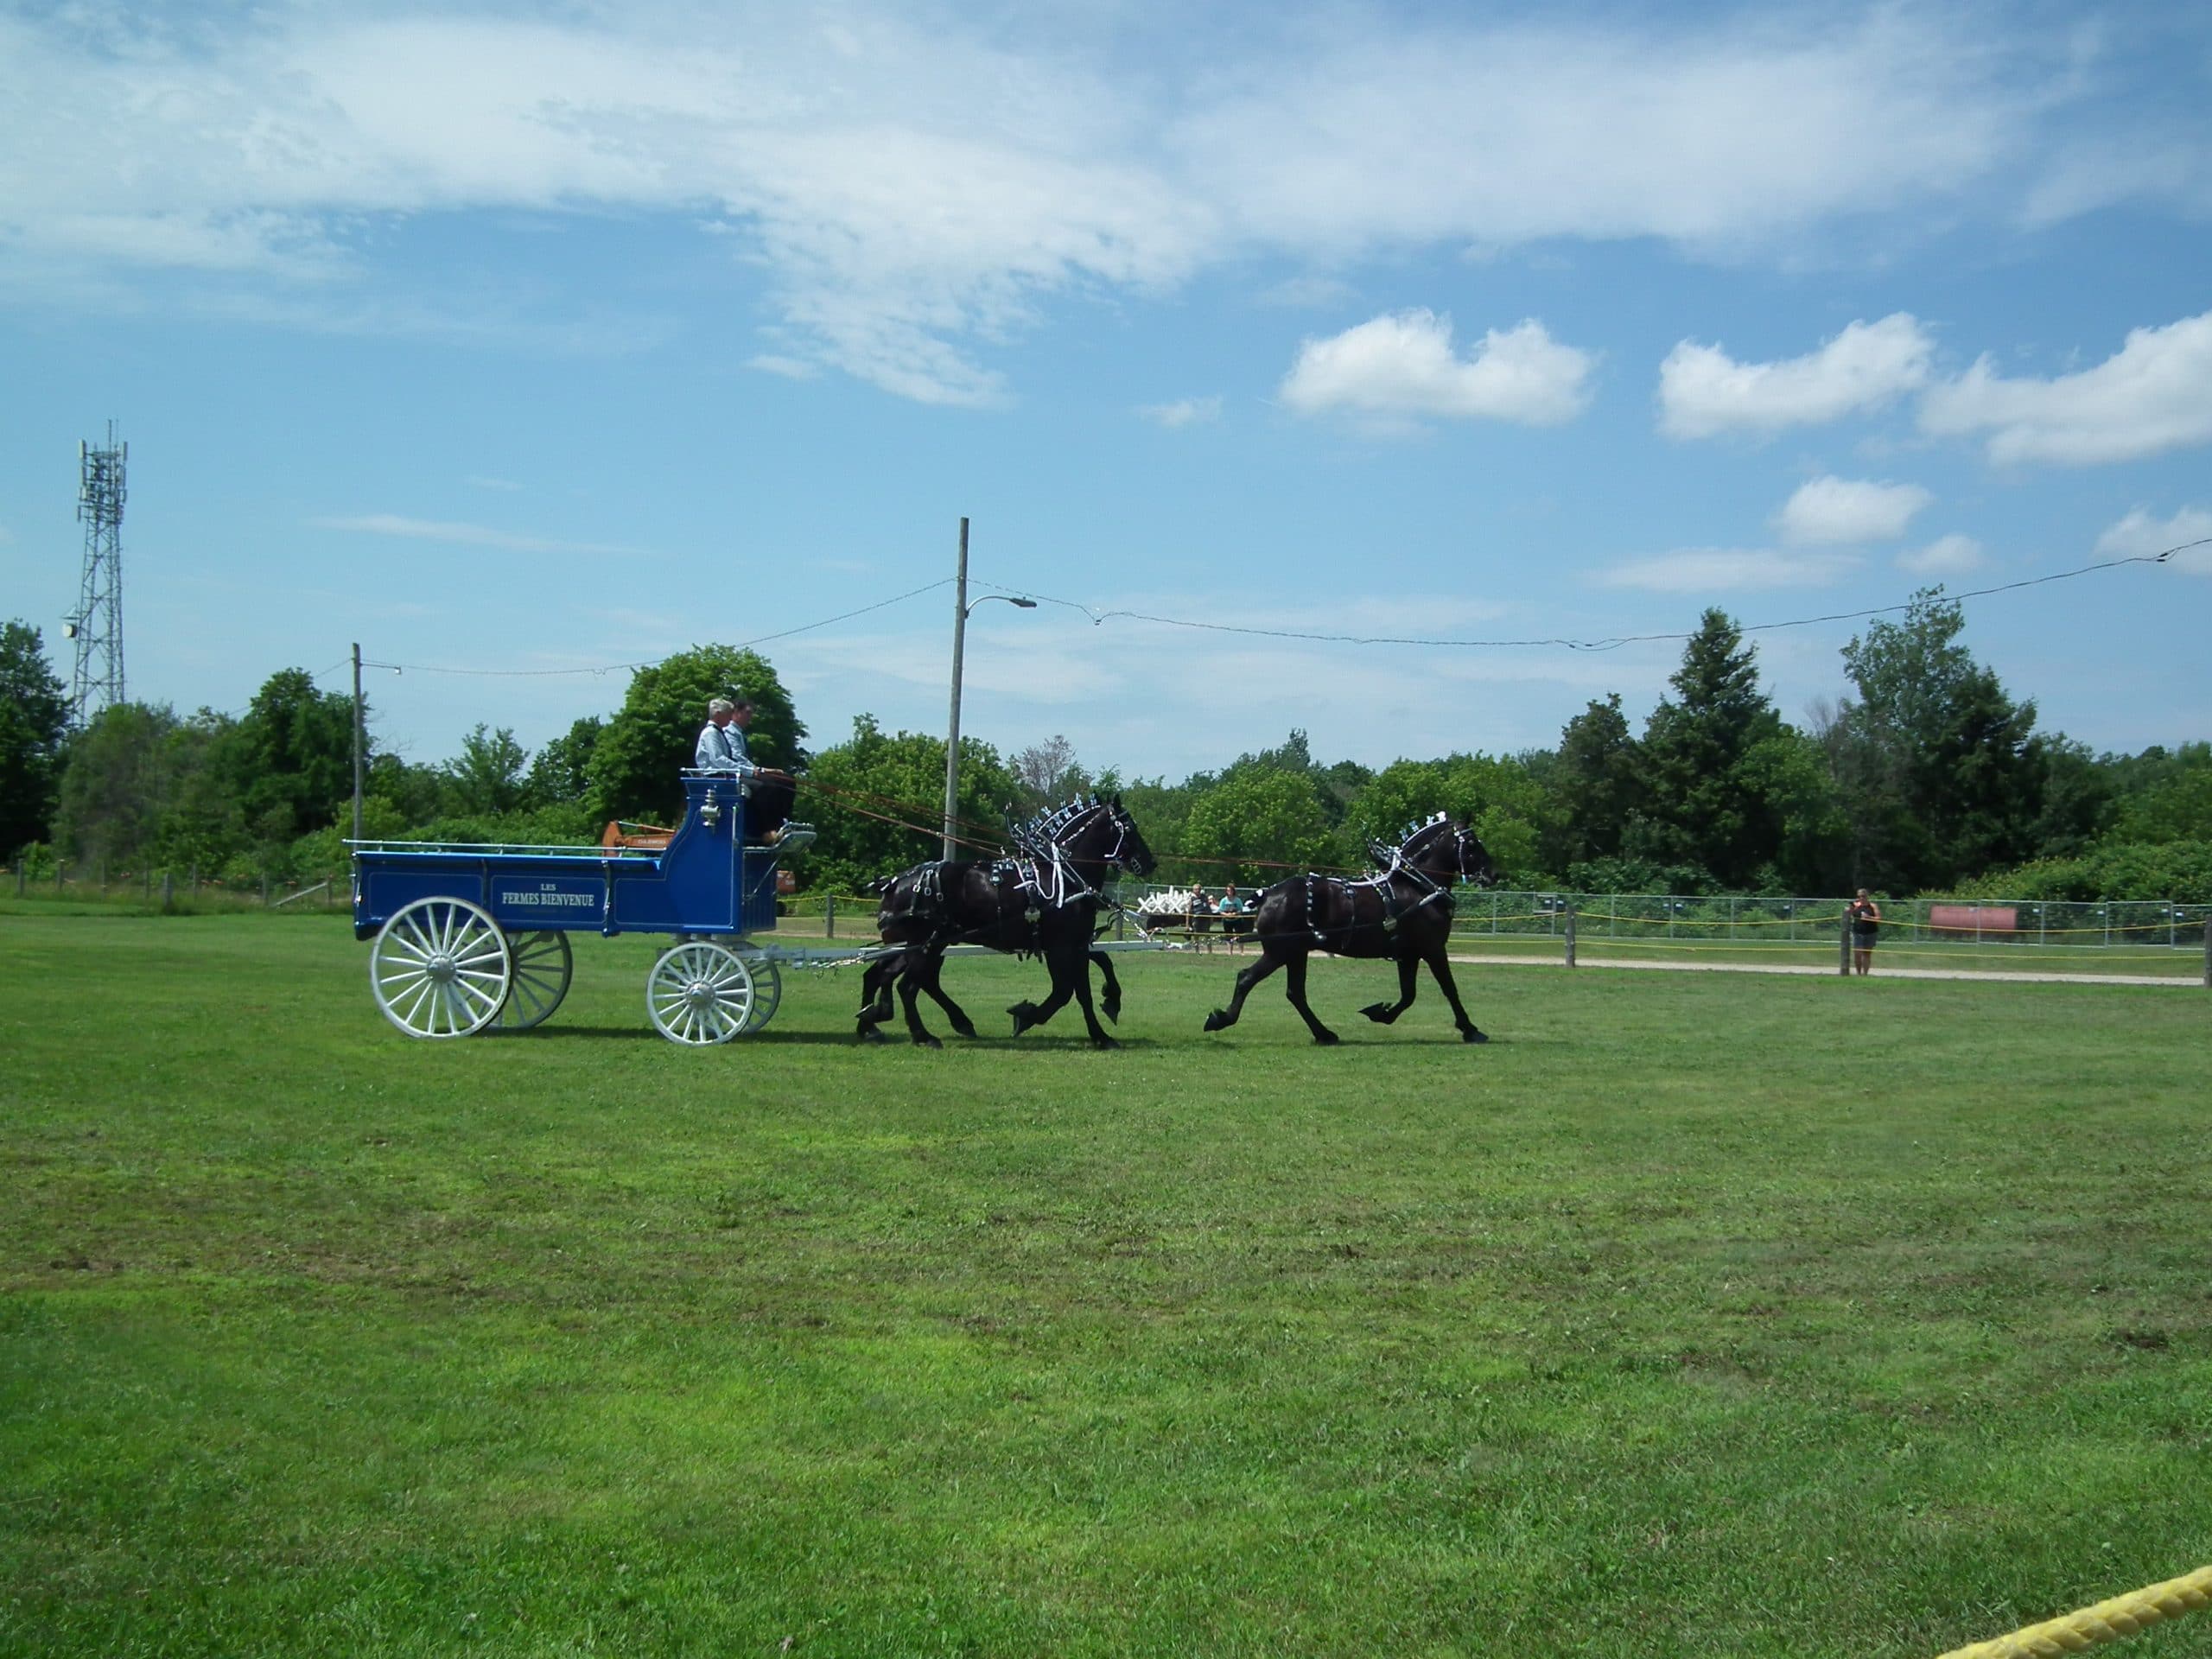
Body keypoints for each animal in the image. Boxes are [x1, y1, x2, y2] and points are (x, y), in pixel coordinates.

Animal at [856, 795, 1156, 1048]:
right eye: (1129, 828)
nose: (1150, 862)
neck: (1064, 878)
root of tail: (893, 883)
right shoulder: (1062, 947)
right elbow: (1069, 991)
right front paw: (1033, 1018)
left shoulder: (1075, 944)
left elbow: (1096, 970)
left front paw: (1108, 1005)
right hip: (926, 944)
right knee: (908, 986)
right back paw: (922, 1035)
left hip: (921, 944)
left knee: (894, 977)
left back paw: (876, 1021)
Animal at [1201, 814, 1498, 1045]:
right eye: (1472, 842)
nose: (1493, 873)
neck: (1415, 885)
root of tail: (1269, 894)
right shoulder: (1433, 949)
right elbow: (1449, 989)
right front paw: (1470, 1030)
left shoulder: (1409, 954)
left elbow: (1408, 995)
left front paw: (1381, 1012)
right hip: (1280, 951)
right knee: (1247, 979)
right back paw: (1221, 1019)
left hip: (1296, 952)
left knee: (1295, 993)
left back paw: (1323, 1034)